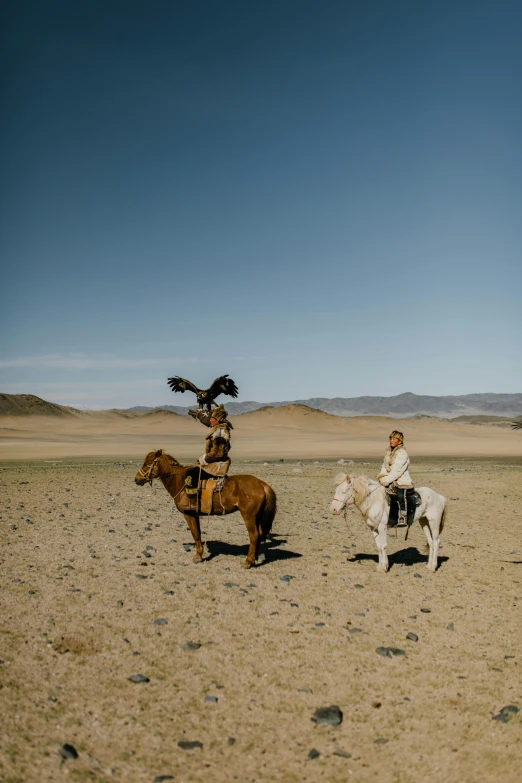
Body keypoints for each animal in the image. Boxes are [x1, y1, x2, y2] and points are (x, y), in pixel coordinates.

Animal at [134, 454, 276, 568]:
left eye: (147, 464)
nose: (137, 479)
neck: (180, 482)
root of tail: (262, 485)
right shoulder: (195, 515)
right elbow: (198, 533)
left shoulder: (188, 514)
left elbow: (195, 534)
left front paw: (198, 557)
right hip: (257, 517)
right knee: (259, 534)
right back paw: (254, 559)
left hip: (248, 516)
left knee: (254, 536)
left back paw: (247, 562)